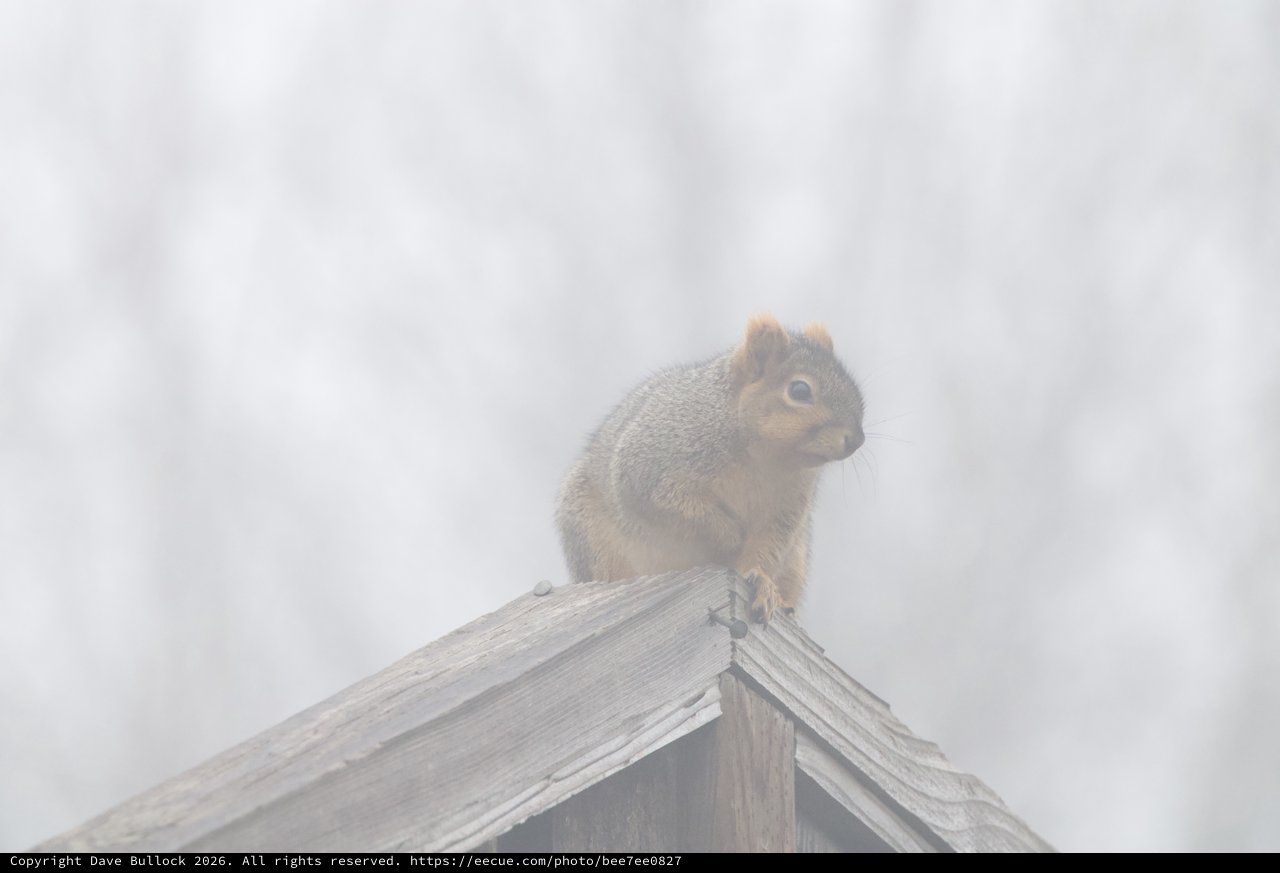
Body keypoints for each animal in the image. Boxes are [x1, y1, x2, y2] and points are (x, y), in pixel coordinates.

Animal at [556, 314, 865, 623]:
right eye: (799, 390)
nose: (856, 439)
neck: (764, 459)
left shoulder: (787, 508)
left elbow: (766, 548)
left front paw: (761, 583)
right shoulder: (649, 467)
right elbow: (677, 508)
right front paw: (729, 536)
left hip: (796, 560)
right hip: (591, 537)